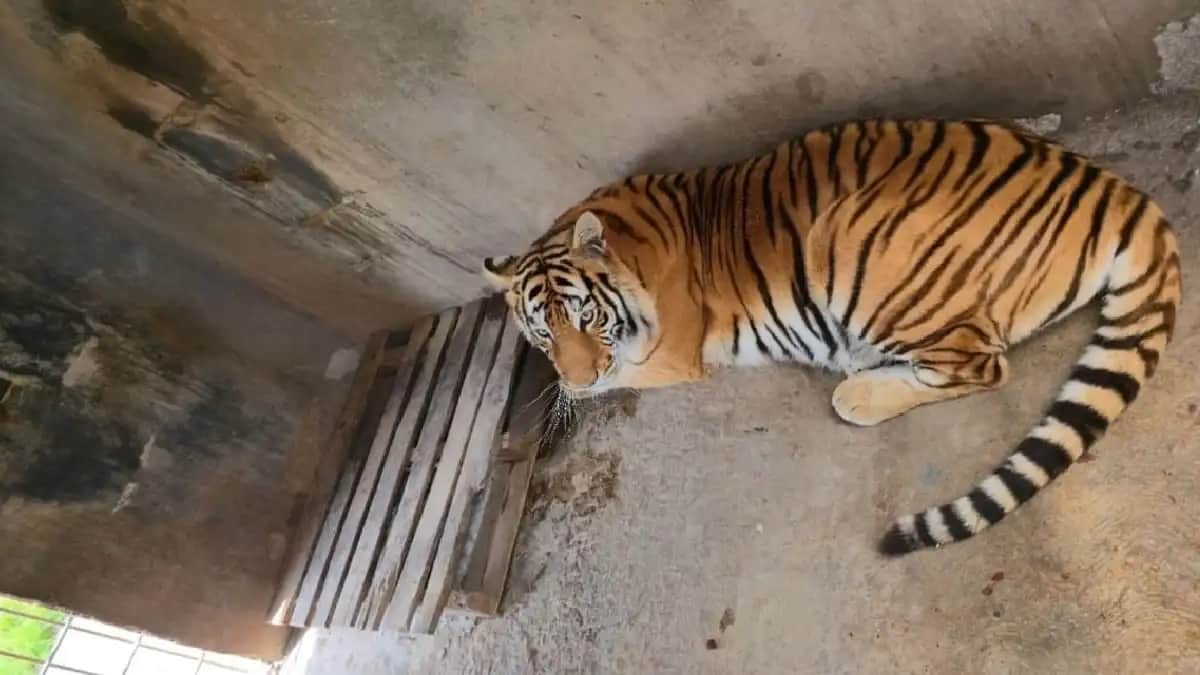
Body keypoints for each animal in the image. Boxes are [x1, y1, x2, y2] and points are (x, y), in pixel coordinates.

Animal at [481, 119, 1181, 556]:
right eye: (542, 330)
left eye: (585, 317)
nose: (578, 376)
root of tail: (1116, 188)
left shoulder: (668, 353)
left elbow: (616, 376)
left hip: (850, 241)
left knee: (978, 366)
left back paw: (859, 391)